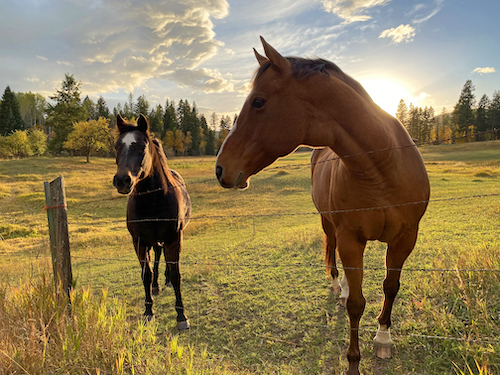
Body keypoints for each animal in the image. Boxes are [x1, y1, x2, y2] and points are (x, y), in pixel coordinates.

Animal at [113, 115, 191, 332]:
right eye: (116, 146)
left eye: (141, 146)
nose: (122, 180)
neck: (153, 200)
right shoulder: (139, 242)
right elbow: (145, 275)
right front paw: (148, 311)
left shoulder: (174, 239)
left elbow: (176, 274)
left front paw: (181, 316)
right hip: (152, 242)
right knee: (156, 255)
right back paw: (156, 285)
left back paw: (165, 281)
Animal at [215, 36, 430, 374]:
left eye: (258, 102)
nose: (220, 168)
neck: (382, 168)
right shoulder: (350, 238)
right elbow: (356, 303)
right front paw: (353, 362)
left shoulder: (405, 238)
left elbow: (390, 287)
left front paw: (383, 337)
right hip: (330, 225)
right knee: (334, 257)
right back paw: (339, 288)